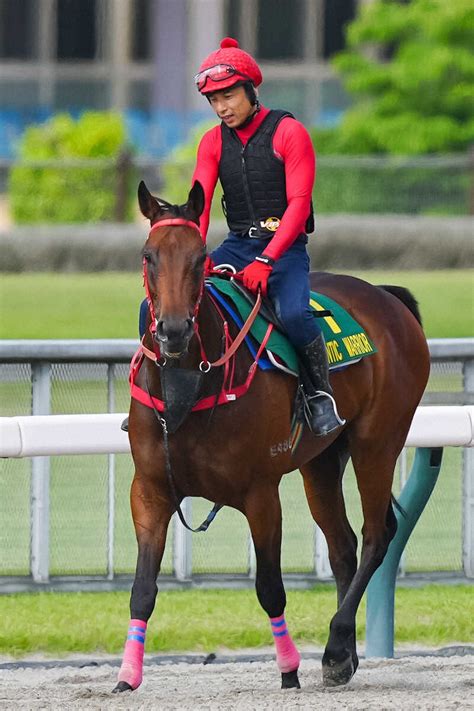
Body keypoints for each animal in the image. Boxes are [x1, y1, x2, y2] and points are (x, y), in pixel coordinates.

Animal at [114, 179, 430, 696]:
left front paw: (288, 671)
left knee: (376, 535)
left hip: (377, 441)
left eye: (200, 258)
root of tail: (387, 298)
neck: (191, 382)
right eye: (148, 255)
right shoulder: (150, 491)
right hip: (322, 460)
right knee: (342, 545)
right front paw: (126, 677)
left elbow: (269, 588)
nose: (174, 331)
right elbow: (142, 591)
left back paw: (335, 647)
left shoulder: (260, 494)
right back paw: (345, 656)